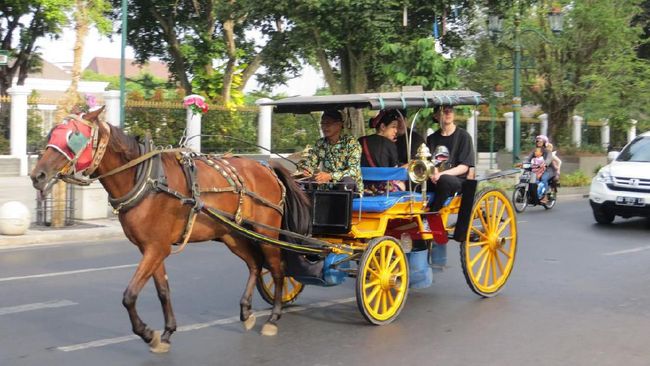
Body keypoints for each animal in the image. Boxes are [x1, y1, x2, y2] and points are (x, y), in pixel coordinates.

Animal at [30, 107, 312, 354]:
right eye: (52, 134)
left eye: (73, 138)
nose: (38, 175)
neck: (145, 179)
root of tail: (267, 167)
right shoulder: (152, 248)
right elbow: (163, 291)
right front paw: (166, 333)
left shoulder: (156, 248)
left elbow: (129, 295)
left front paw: (147, 333)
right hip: (232, 234)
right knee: (254, 264)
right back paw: (246, 312)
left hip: (267, 233)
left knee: (277, 269)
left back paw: (273, 318)